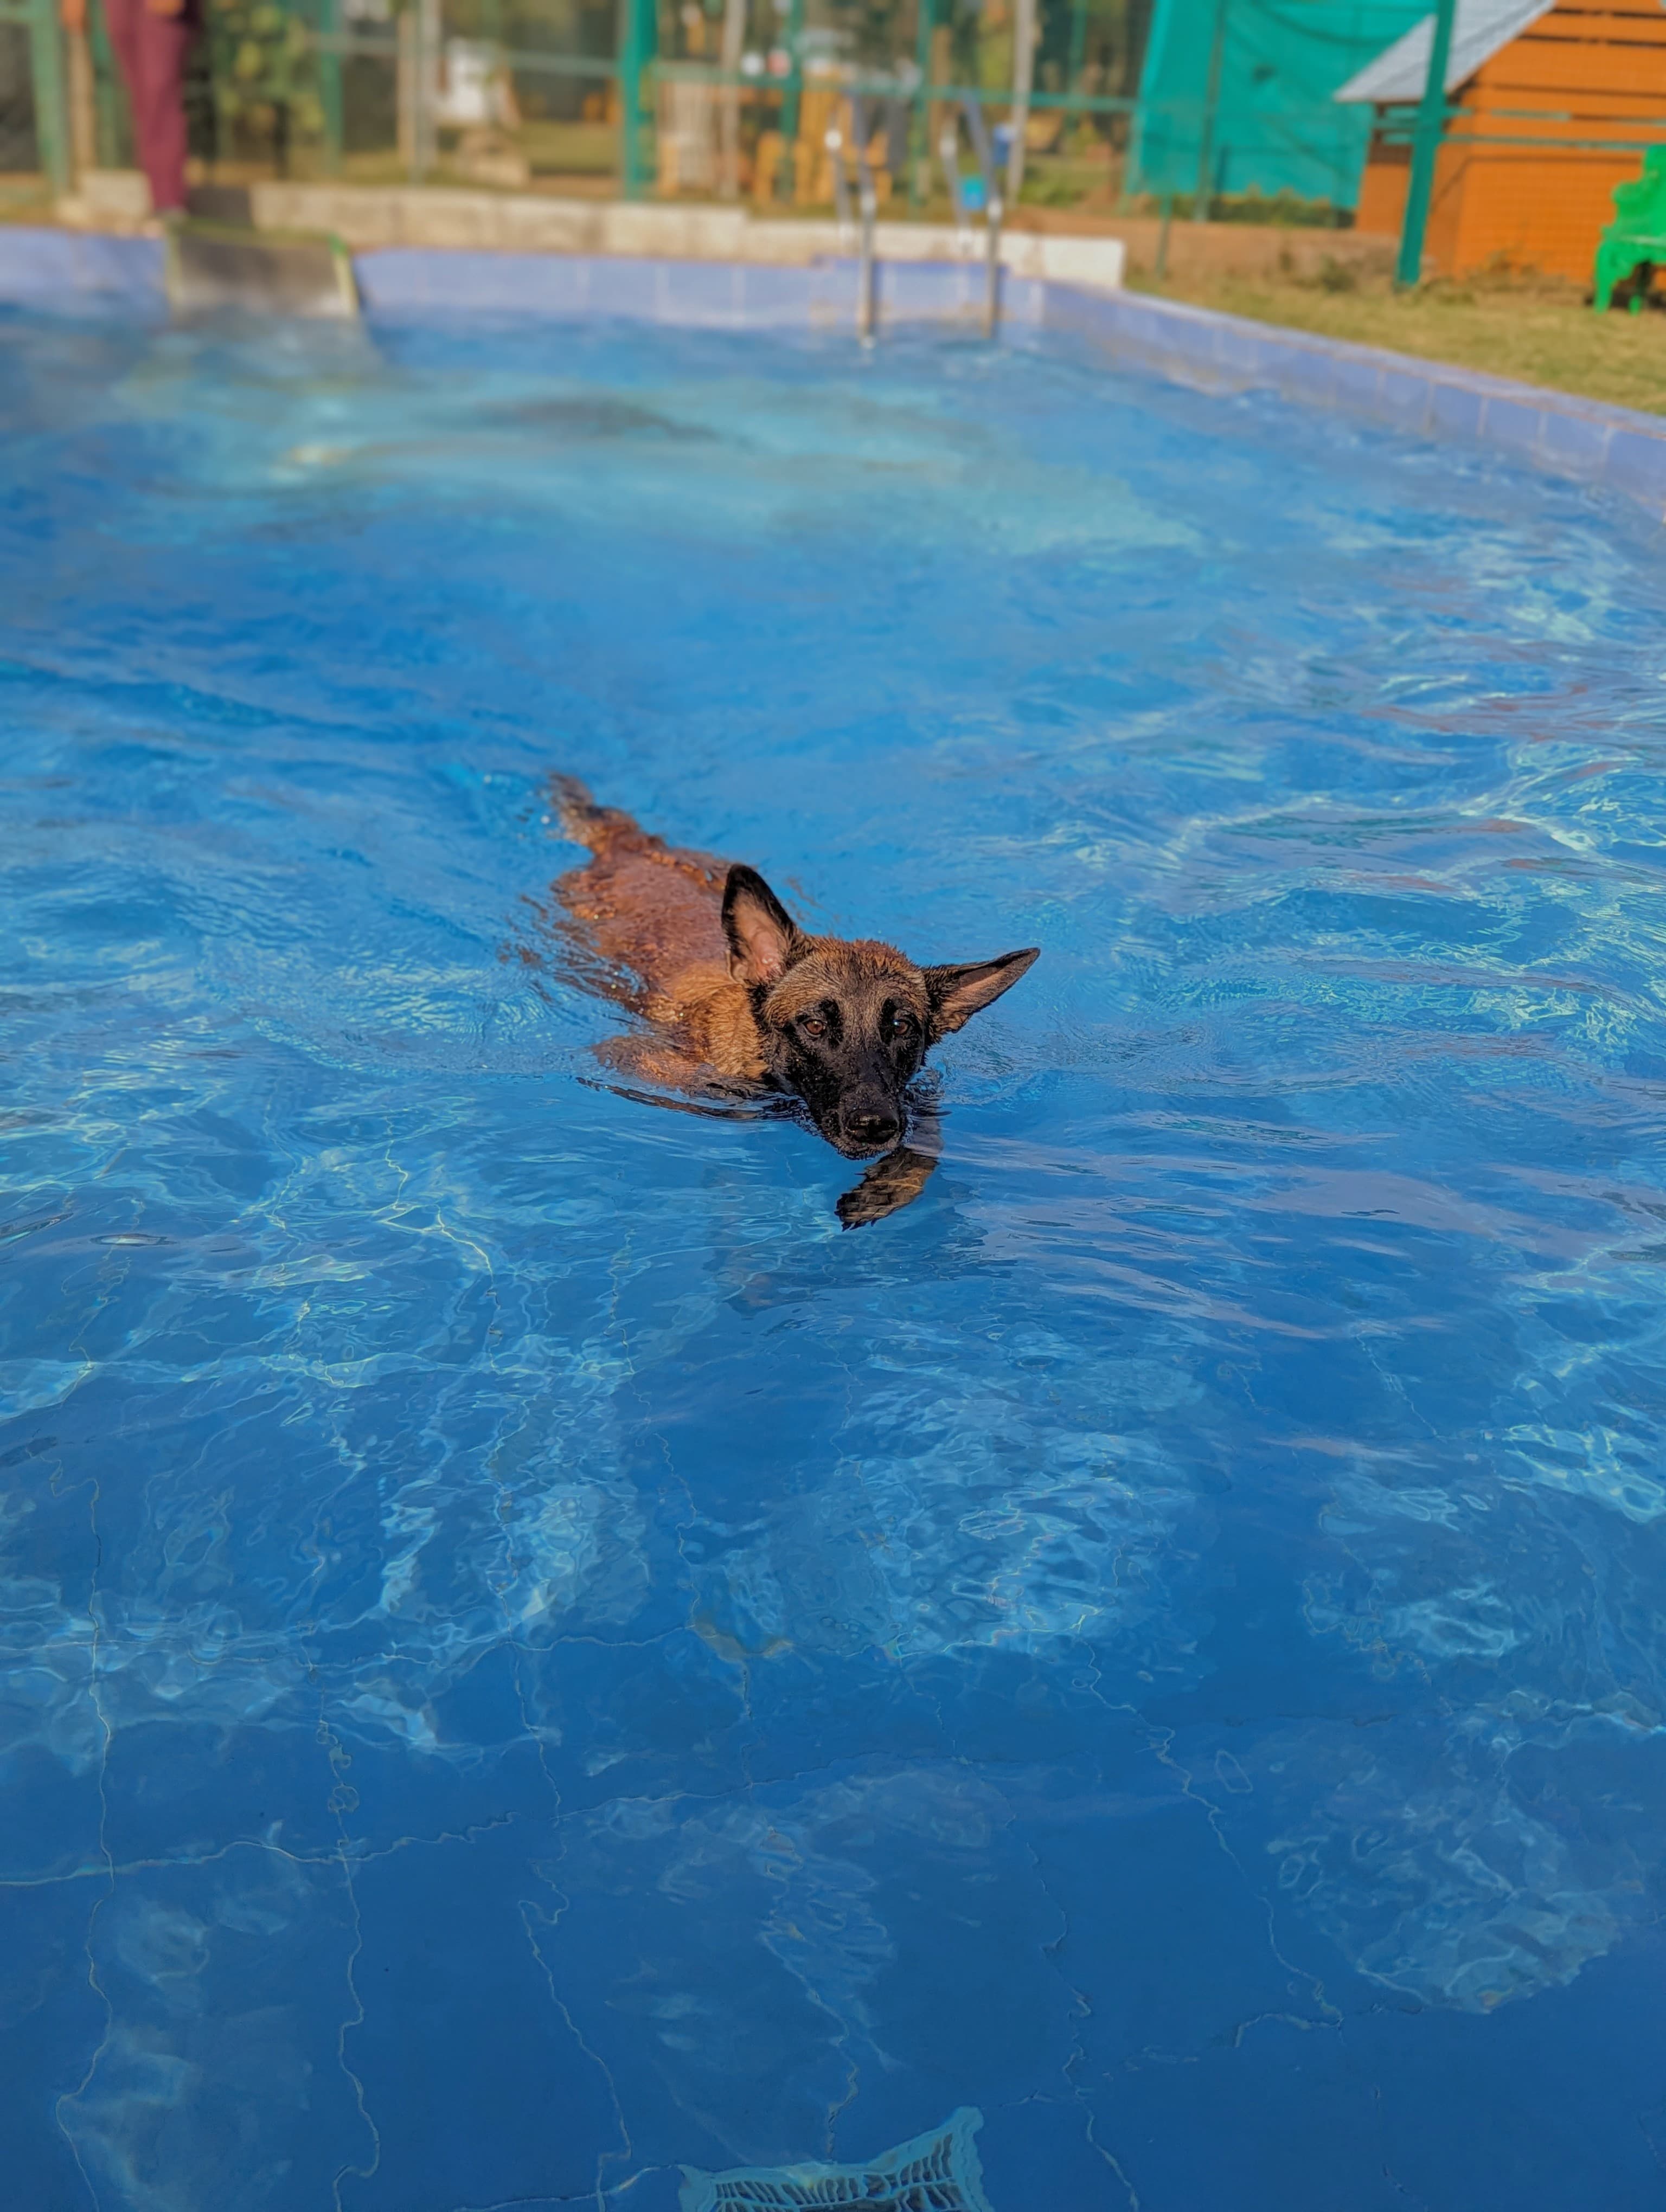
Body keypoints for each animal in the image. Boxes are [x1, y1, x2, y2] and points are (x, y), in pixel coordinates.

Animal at [553, 779, 1035, 1230]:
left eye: (901, 1027)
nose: (874, 1125)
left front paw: (891, 1185)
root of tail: (632, 846)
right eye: (814, 1026)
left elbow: (930, 1141)